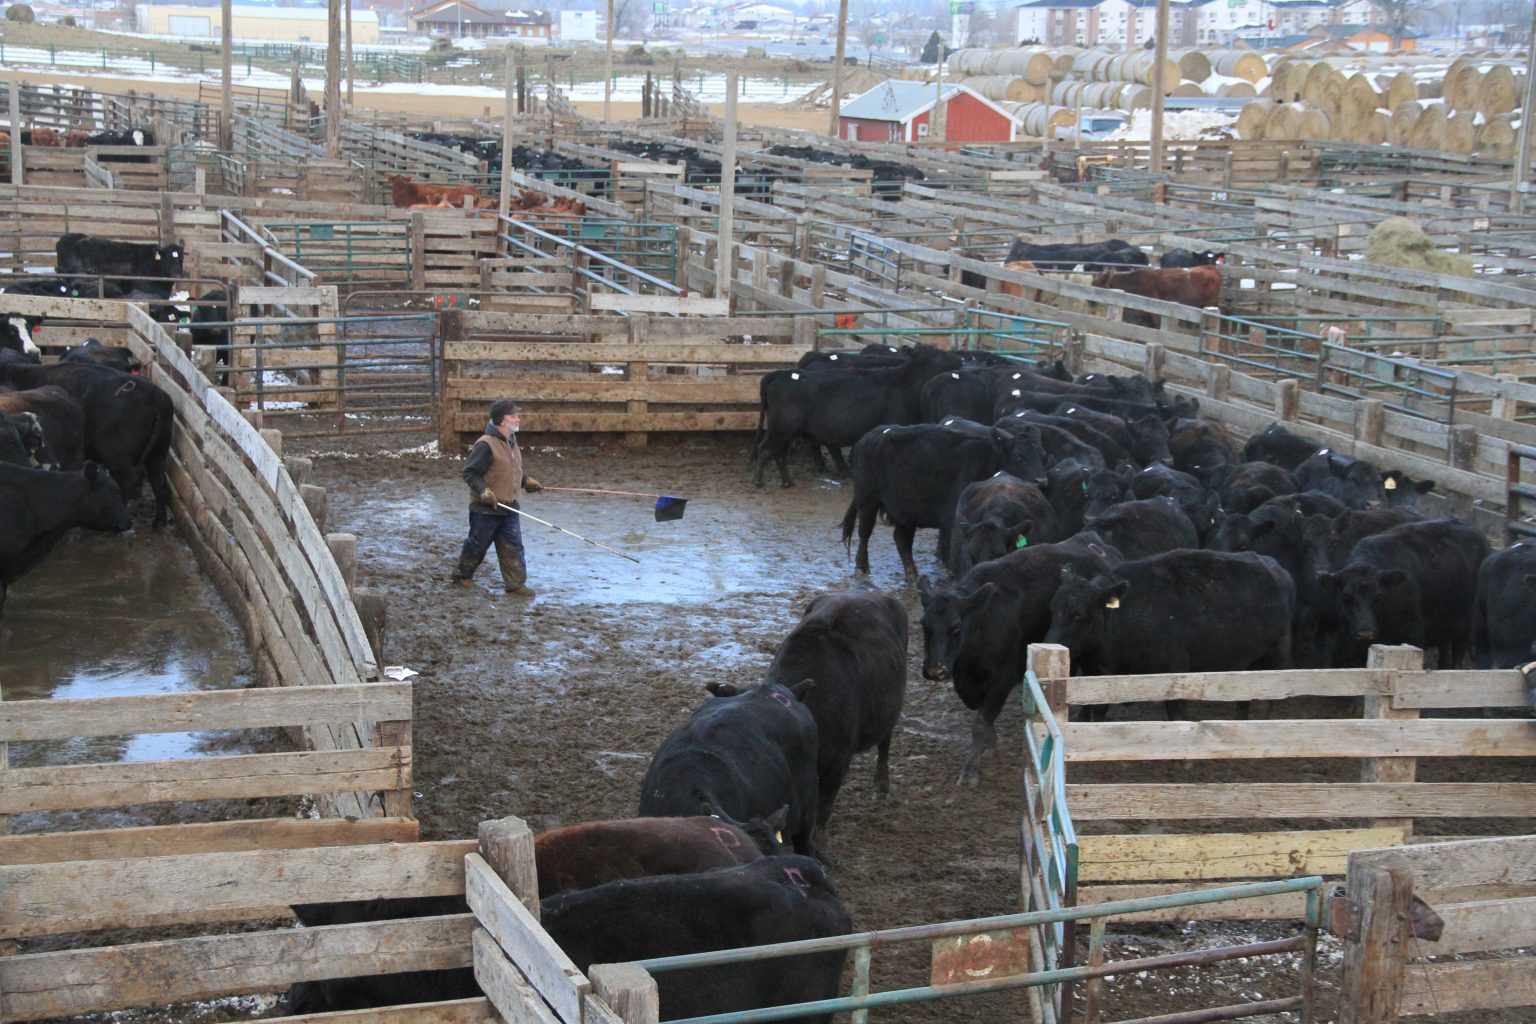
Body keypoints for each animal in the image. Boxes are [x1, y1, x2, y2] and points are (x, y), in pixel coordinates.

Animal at [0, 361, 174, 526]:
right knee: (160, 483)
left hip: (117, 456)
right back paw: (159, 521)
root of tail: (156, 395)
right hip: (158, 452)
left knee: (129, 481)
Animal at [840, 422, 1050, 579]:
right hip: (867, 502)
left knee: (902, 540)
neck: (987, 459)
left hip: (905, 511)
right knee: (864, 533)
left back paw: (912, 575)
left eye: (1043, 457)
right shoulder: (953, 522)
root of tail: (869, 436)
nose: (1041, 481)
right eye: (1018, 456)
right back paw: (862, 569)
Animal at [919, 533, 1121, 782]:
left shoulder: (1002, 679)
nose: (934, 670)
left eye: (956, 627)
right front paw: (989, 746)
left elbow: (981, 722)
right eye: (924, 625)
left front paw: (971, 769)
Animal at [1318, 517, 1489, 667]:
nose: (1366, 632)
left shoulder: (1413, 636)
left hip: (1465, 625)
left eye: (1379, 596)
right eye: (1346, 596)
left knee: (1458, 652)